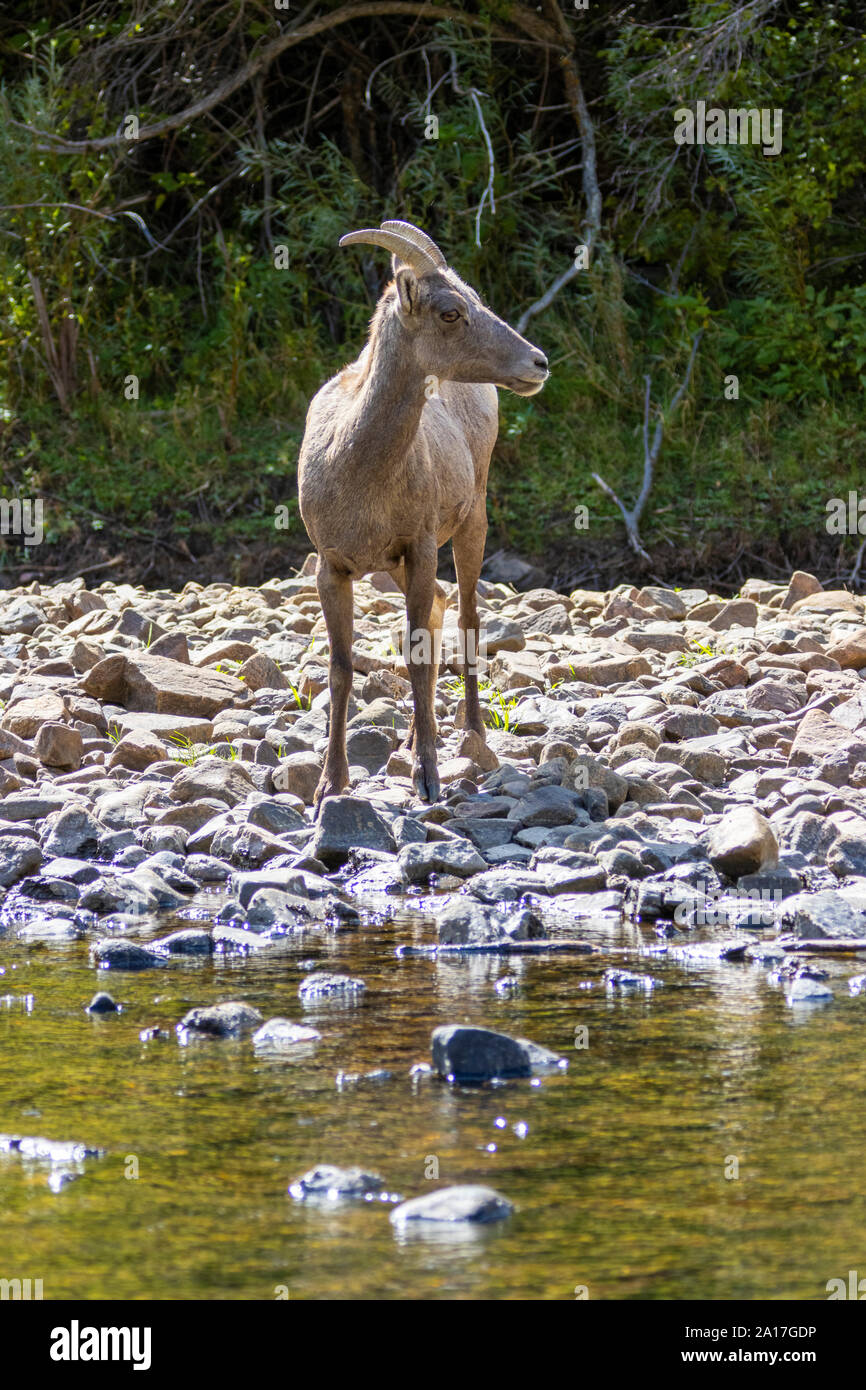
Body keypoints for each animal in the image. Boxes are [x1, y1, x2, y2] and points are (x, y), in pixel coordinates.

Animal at [300, 215, 547, 806]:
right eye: (451, 311)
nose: (538, 363)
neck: (356, 470)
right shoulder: (333, 568)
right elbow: (341, 669)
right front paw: (330, 785)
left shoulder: (418, 548)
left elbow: (413, 655)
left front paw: (428, 781)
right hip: (399, 565)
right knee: (437, 612)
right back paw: (416, 736)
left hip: (470, 522)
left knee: (466, 617)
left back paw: (471, 736)